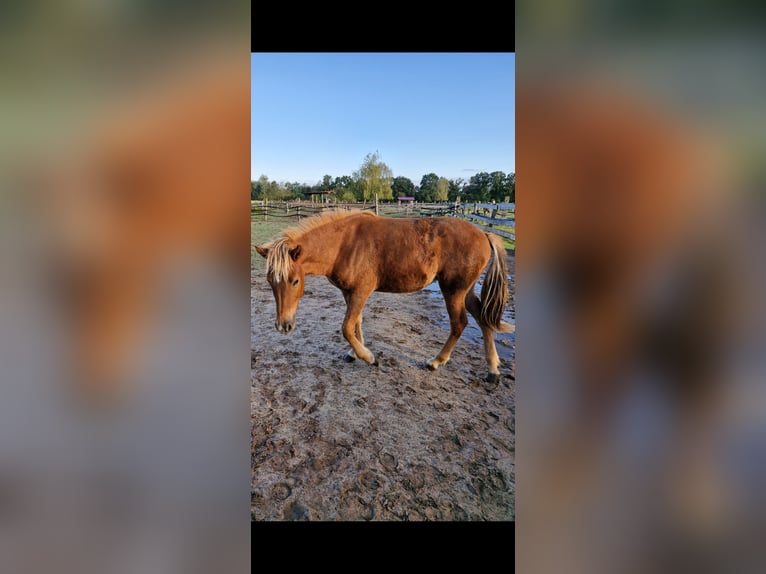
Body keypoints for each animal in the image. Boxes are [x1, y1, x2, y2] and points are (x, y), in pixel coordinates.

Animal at [255, 210, 512, 382]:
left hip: (453, 290)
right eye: (269, 281)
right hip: (465, 291)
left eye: (295, 281)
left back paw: (436, 362)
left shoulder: (361, 291)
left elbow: (346, 327)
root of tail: (484, 233)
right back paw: (492, 370)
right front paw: (354, 353)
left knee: (460, 324)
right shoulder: (350, 293)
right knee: (483, 318)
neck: (343, 245)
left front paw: (369, 357)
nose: (284, 326)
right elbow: (356, 324)